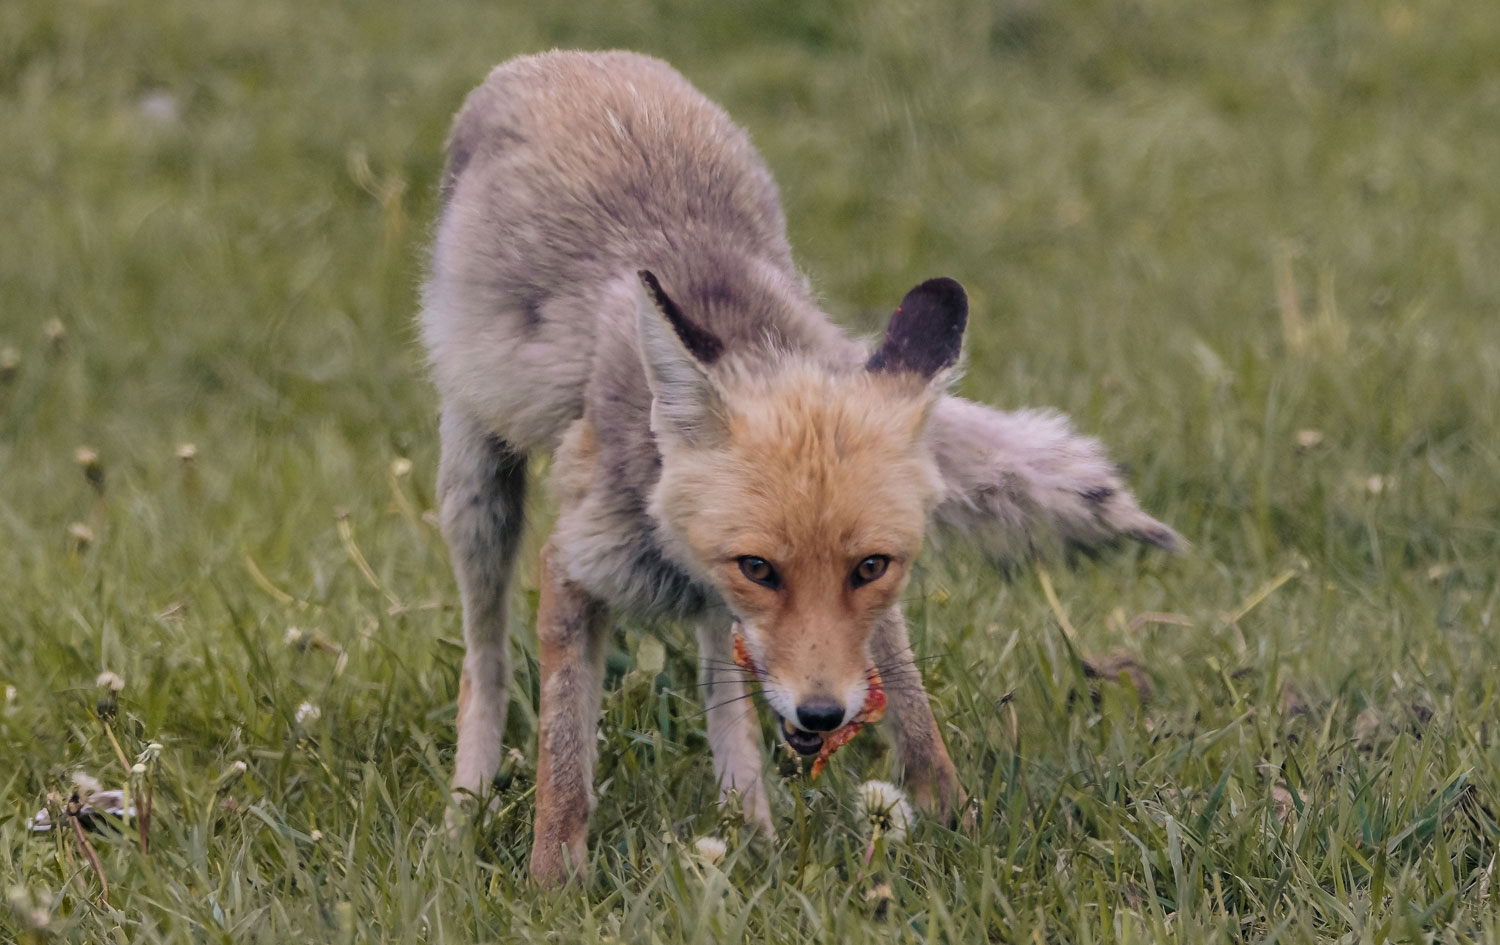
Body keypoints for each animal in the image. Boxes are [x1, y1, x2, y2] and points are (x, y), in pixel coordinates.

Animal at [417, 48, 1176, 888]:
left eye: (871, 567)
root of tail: (572, 57)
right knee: (483, 664)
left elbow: (909, 705)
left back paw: (748, 825)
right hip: (476, 490)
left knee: (719, 674)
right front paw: (554, 882)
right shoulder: (574, 564)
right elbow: (564, 759)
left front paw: (955, 823)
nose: (822, 714)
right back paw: (464, 810)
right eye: (760, 567)